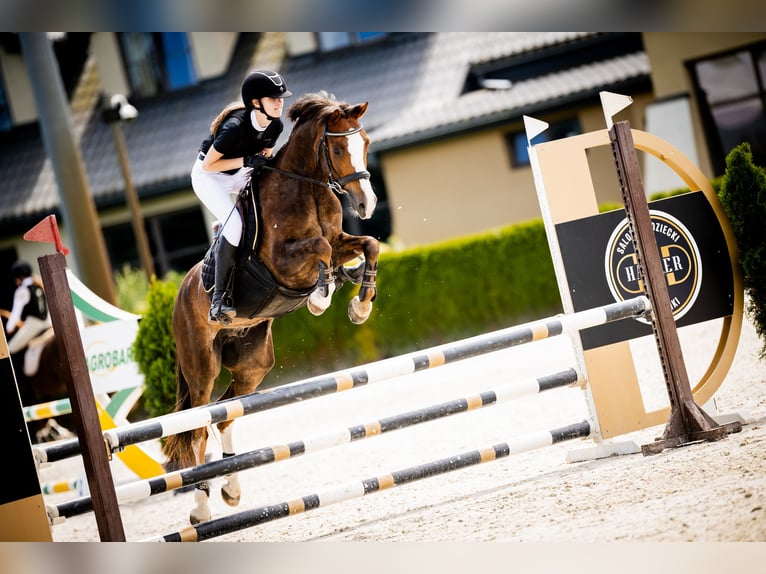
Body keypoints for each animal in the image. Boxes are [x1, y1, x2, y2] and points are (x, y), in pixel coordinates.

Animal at [163, 92, 380, 524]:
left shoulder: (343, 239)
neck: (307, 190)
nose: (367, 204)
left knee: (224, 413)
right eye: (336, 148)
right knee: (197, 426)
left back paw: (230, 491)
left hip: (252, 363)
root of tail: (178, 298)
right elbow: (321, 249)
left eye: (364, 143)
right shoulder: (280, 261)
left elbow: (368, 244)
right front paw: (321, 298)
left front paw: (359, 304)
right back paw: (200, 508)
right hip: (201, 365)